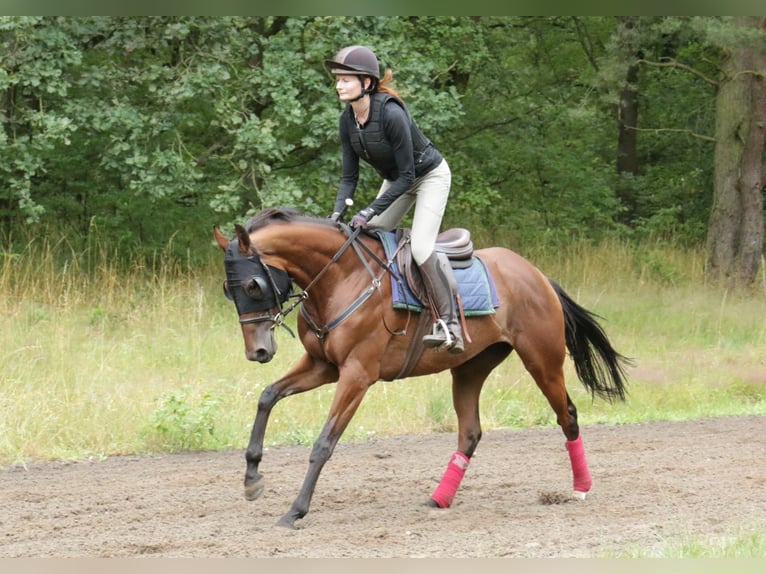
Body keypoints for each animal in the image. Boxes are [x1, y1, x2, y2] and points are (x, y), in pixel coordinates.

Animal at [213, 208, 632, 532]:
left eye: (252, 285)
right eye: (228, 290)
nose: (258, 351)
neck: (339, 278)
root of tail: (537, 275)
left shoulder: (356, 375)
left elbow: (323, 444)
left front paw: (296, 510)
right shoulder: (323, 366)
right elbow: (268, 396)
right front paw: (252, 478)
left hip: (542, 360)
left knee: (568, 415)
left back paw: (581, 487)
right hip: (470, 368)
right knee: (470, 432)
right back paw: (440, 498)